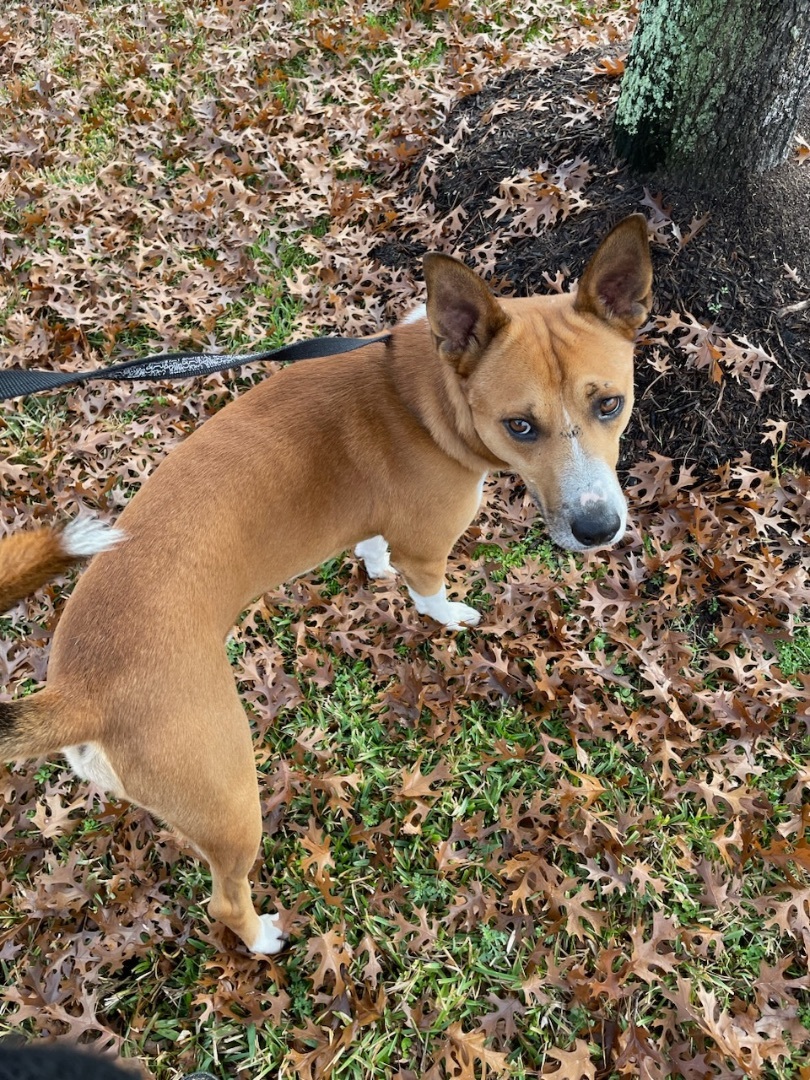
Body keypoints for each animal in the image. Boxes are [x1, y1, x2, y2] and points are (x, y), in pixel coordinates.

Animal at [0, 212, 652, 954]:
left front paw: (373, 566)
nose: (599, 529)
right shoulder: (429, 547)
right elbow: (428, 594)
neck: (423, 392)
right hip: (229, 795)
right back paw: (262, 938)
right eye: (520, 425)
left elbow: (370, 545)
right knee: (225, 898)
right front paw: (449, 616)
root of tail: (76, 695)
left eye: (611, 404)